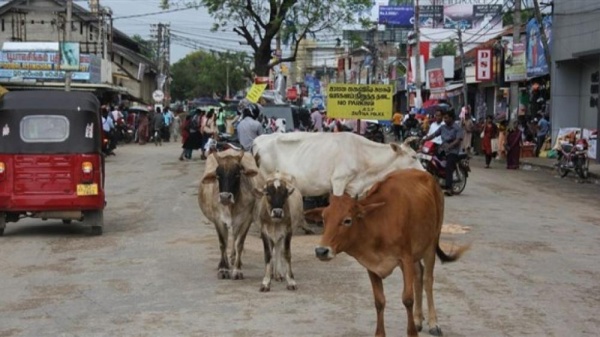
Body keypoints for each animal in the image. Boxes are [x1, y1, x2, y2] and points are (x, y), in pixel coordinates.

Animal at [199, 148, 260, 280]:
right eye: (218, 175)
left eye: (237, 174)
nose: (225, 197)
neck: (231, 206)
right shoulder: (218, 220)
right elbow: (223, 243)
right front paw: (223, 269)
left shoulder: (246, 220)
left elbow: (239, 244)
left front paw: (237, 270)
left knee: (235, 238)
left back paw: (234, 258)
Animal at [251, 132, 424, 197]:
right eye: (414, 156)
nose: (425, 172)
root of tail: (258, 139)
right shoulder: (339, 181)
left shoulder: (353, 188)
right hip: (263, 179)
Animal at [304, 168, 468, 336]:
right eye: (324, 219)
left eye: (347, 220)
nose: (321, 251)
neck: (377, 225)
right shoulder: (372, 266)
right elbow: (379, 301)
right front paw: (380, 333)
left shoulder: (405, 258)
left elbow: (407, 299)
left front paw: (412, 332)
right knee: (418, 276)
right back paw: (417, 320)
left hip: (431, 243)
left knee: (428, 279)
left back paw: (434, 323)